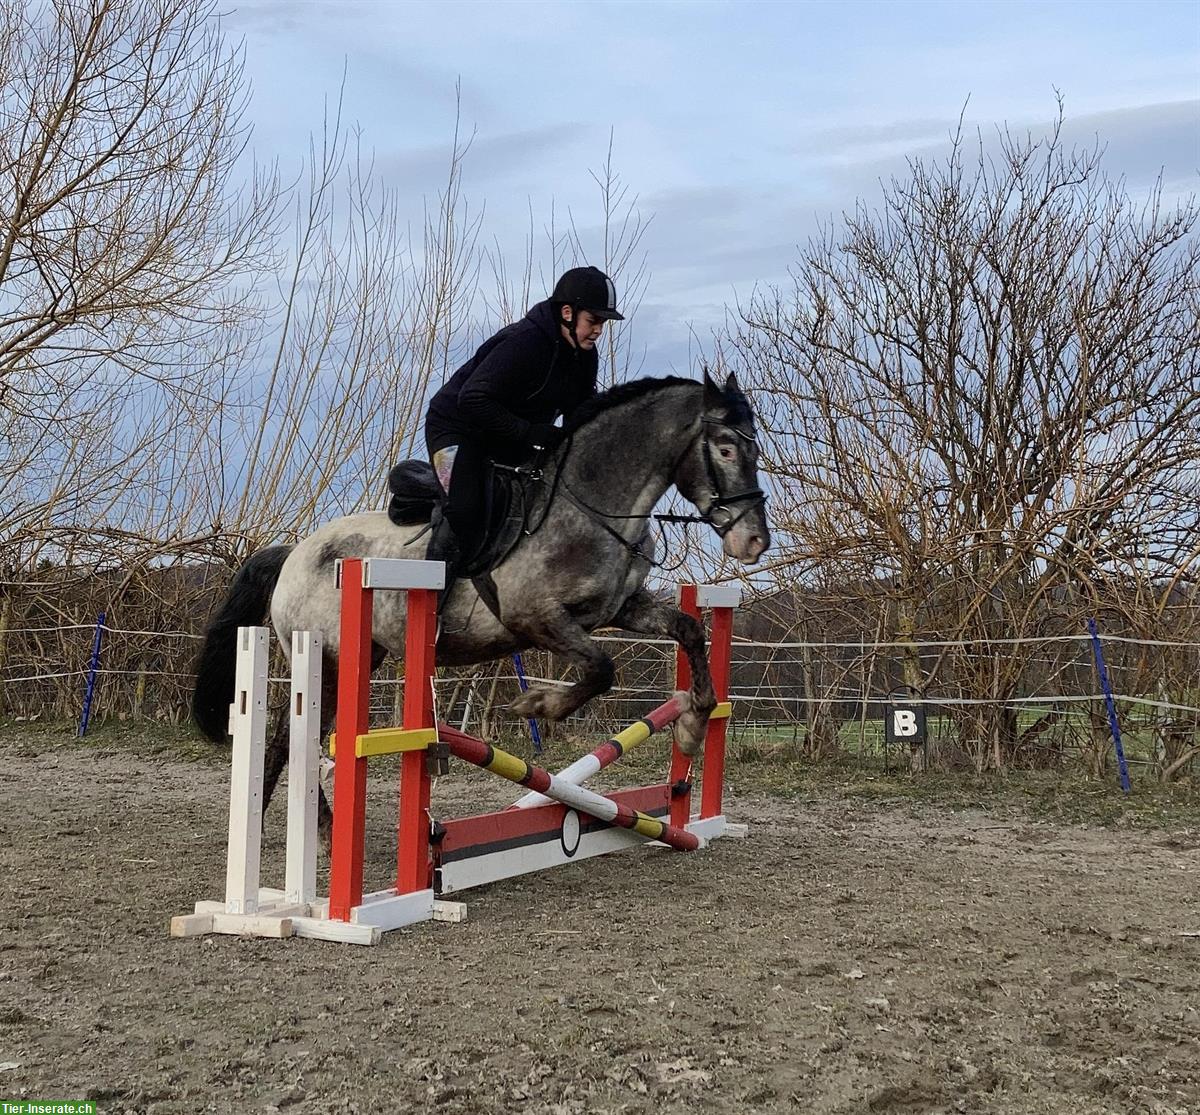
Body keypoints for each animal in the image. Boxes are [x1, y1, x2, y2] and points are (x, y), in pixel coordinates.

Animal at [187, 369, 768, 840]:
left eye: (753, 449)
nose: (754, 542)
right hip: (326, 659)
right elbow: (601, 668)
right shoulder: (535, 618)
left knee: (296, 741)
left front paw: (692, 727)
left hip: (358, 657)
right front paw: (538, 706)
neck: (590, 508)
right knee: (292, 741)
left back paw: (301, 827)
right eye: (724, 448)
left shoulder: (619, 609)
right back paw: (303, 832)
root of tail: (294, 552)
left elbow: (688, 629)